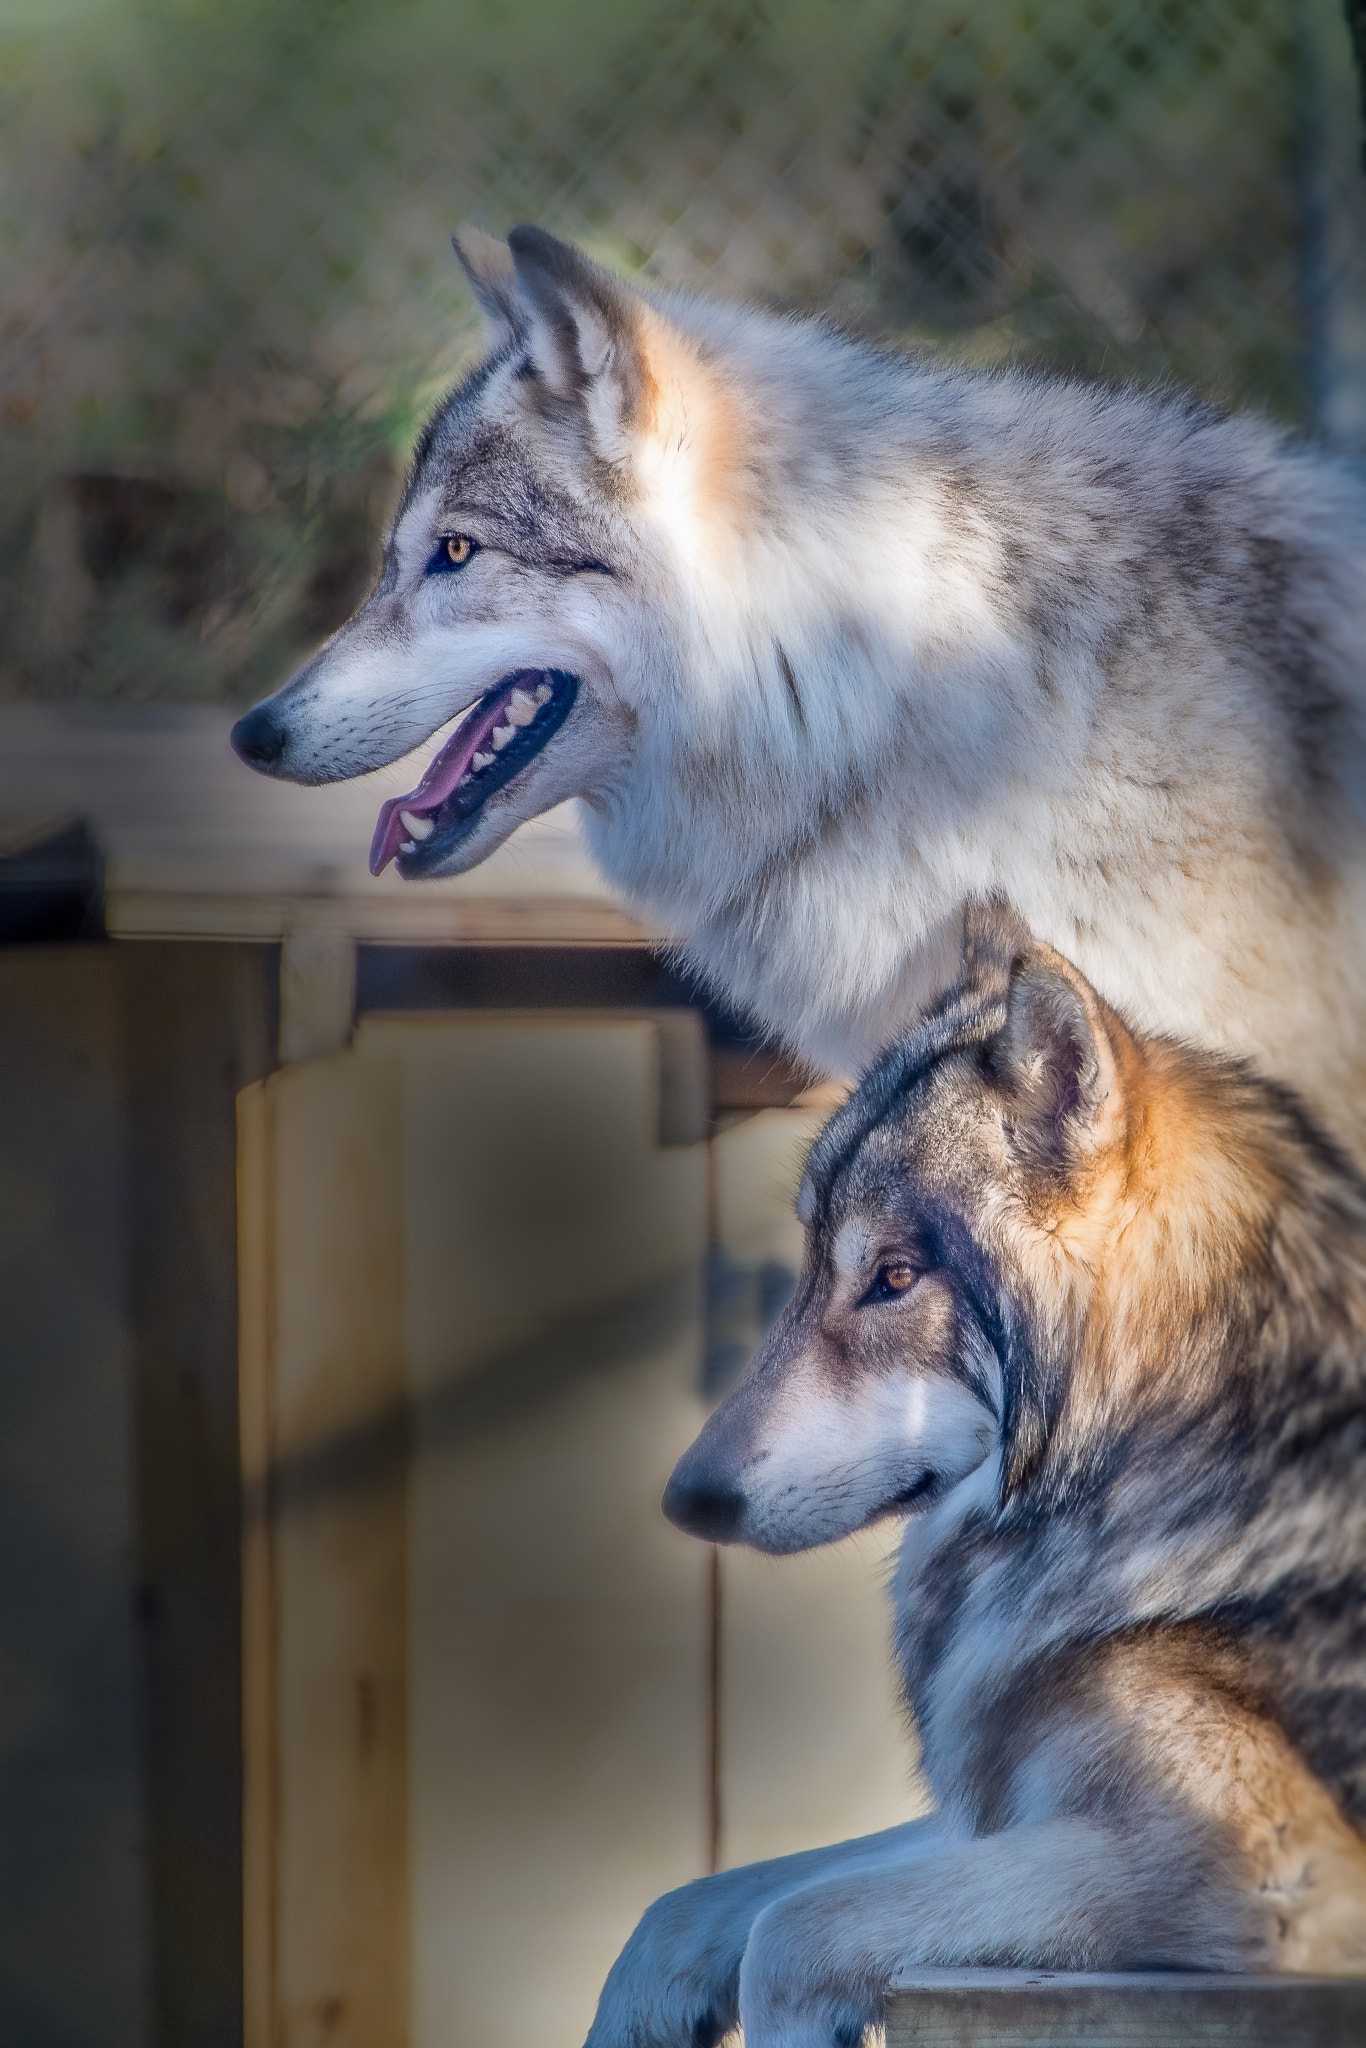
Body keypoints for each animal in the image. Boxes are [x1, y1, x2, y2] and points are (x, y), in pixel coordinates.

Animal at [583, 900, 1366, 2048]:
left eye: (895, 1275)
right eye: (813, 1266)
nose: (690, 1500)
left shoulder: (1264, 1862)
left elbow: (792, 1925)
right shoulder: (1002, 1801)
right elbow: (701, 1899)